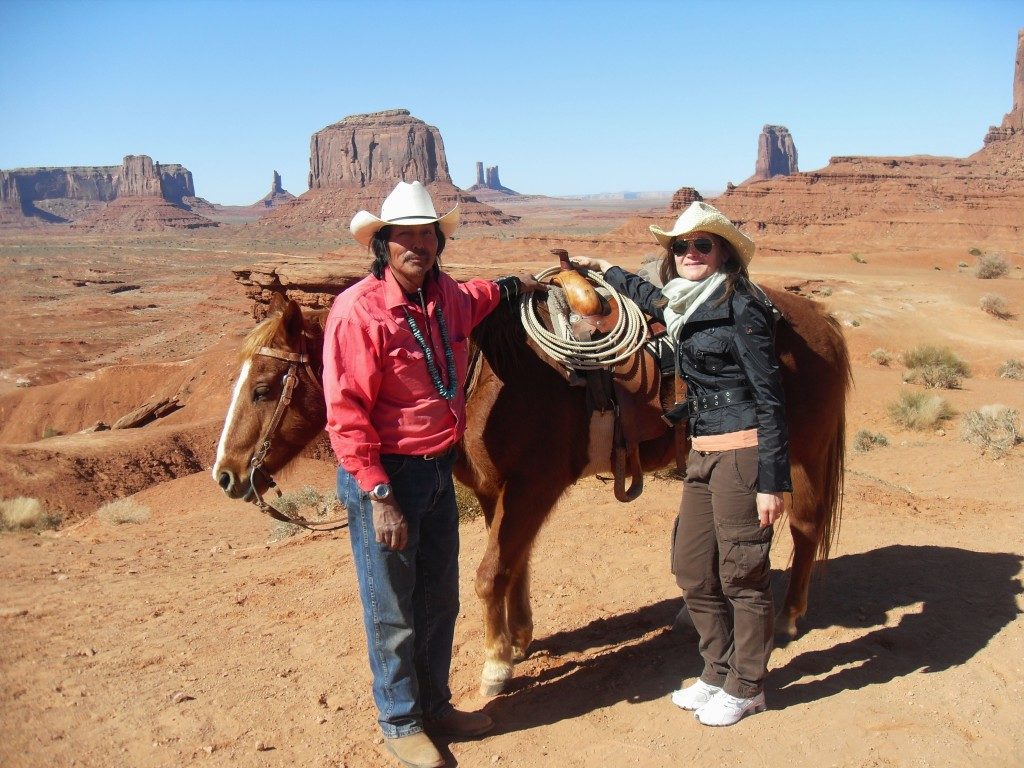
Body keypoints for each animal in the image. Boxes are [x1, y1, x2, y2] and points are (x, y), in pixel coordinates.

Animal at [214, 286, 847, 696]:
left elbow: (492, 569)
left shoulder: (533, 487)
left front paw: (496, 664)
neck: (484, 381)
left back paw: (788, 618)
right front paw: (518, 639)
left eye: (265, 387)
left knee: (804, 526)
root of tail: (819, 319)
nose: (225, 474)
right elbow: (512, 563)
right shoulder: (496, 490)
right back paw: (692, 620)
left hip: (800, 452)